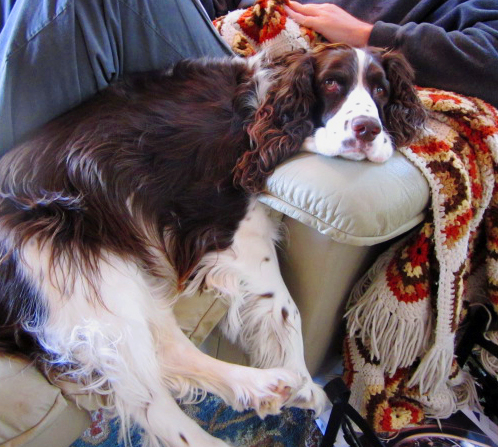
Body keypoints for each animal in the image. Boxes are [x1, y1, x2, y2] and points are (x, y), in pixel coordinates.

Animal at [0, 44, 424, 447]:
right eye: (333, 83)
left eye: (381, 90)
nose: (367, 129)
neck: (261, 106)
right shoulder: (236, 233)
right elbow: (288, 309)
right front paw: (304, 381)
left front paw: (311, 398)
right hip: (74, 261)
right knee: (147, 398)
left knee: (165, 353)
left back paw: (260, 387)